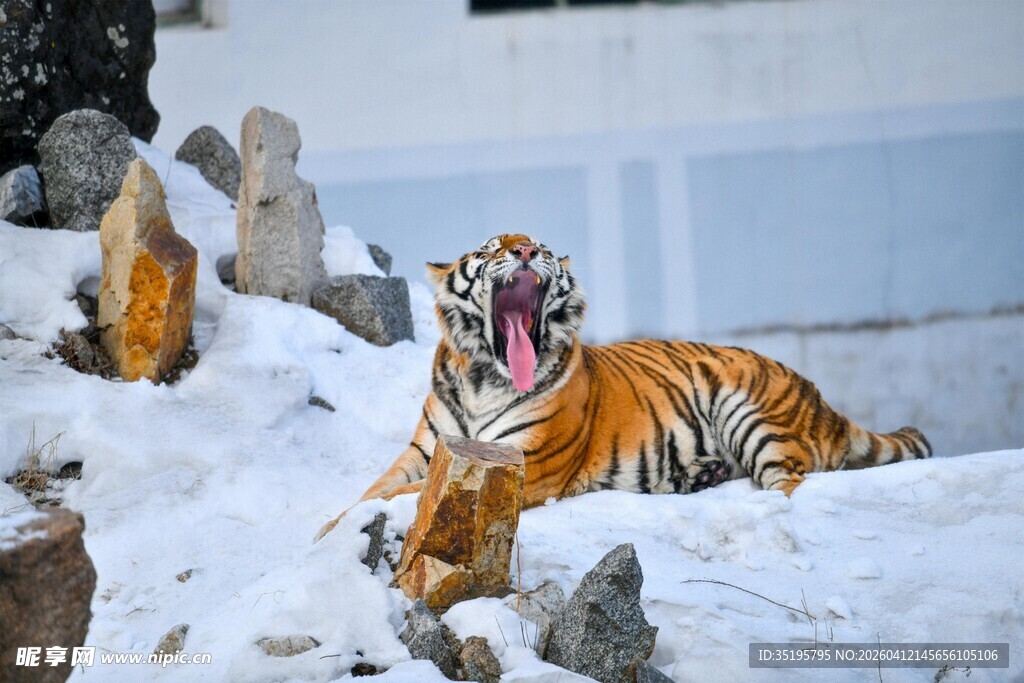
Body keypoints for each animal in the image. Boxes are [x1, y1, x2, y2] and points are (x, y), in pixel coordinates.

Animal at [317, 233, 931, 539]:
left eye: (539, 245)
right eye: (492, 247)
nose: (524, 251)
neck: (482, 376)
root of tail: (822, 398)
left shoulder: (521, 461)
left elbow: (403, 497)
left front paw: (332, 531)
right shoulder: (425, 451)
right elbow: (374, 491)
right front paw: (333, 524)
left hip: (750, 410)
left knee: (790, 485)